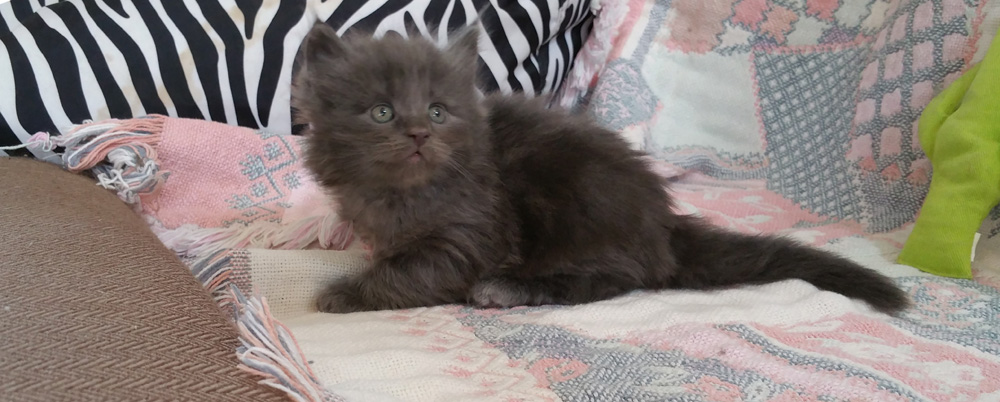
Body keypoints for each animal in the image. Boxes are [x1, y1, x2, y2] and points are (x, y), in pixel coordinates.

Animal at [292, 23, 912, 316]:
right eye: (382, 111)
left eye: (439, 111)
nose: (420, 132)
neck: (402, 192)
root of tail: (662, 221)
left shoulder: (472, 231)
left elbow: (417, 270)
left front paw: (345, 293)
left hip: (576, 201)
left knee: (619, 277)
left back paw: (509, 289)